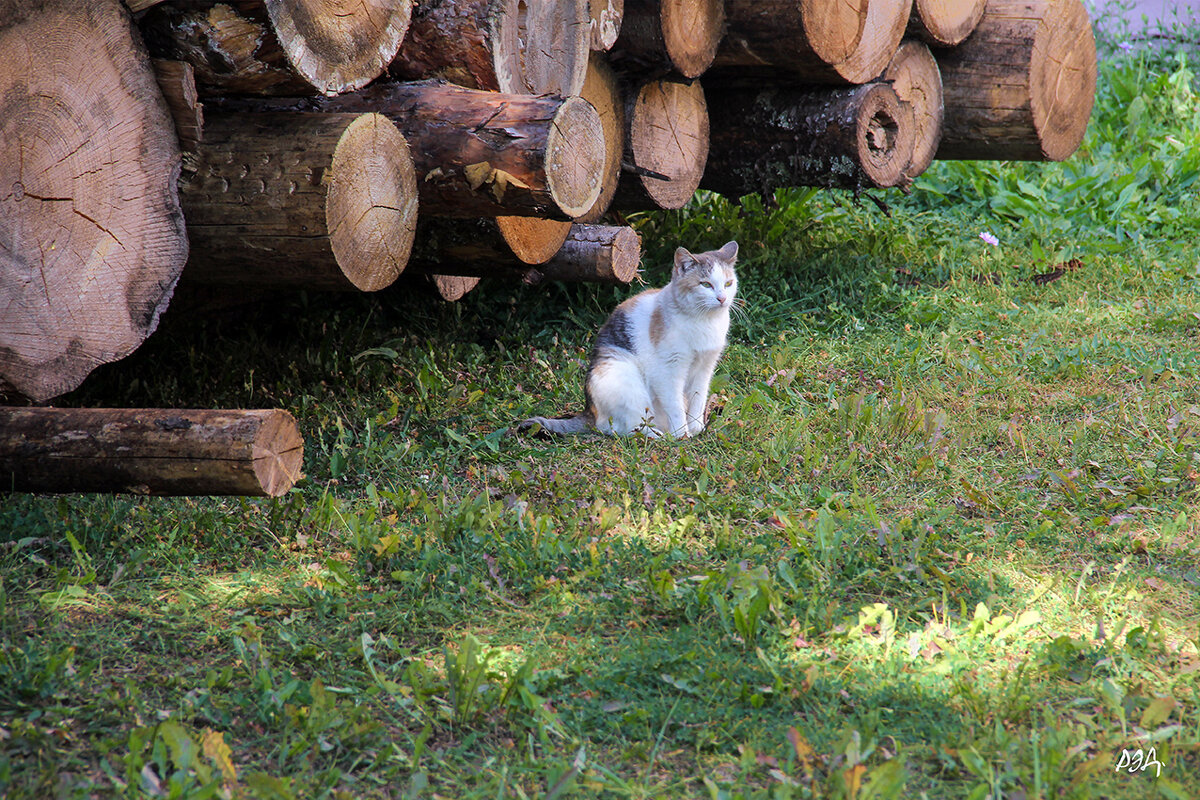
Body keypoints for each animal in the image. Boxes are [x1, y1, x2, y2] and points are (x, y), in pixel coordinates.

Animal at [518, 241, 734, 438]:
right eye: (705, 284)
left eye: (728, 283)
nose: (722, 298)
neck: (705, 322)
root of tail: (590, 413)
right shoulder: (668, 371)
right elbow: (675, 406)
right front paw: (682, 435)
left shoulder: (704, 368)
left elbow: (698, 400)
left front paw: (697, 428)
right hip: (624, 377)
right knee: (626, 428)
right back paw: (659, 435)